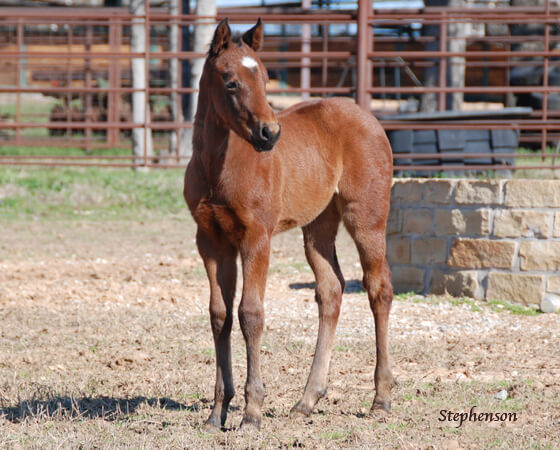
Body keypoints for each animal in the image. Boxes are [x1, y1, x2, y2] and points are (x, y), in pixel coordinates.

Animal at [184, 18, 394, 432]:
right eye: (230, 82)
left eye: (266, 79)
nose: (270, 133)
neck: (219, 168)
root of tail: (369, 117)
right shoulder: (211, 241)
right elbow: (220, 316)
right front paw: (217, 412)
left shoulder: (256, 238)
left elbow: (250, 314)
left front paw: (251, 412)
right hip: (317, 227)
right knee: (331, 291)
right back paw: (307, 401)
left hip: (366, 218)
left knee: (379, 289)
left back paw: (380, 398)